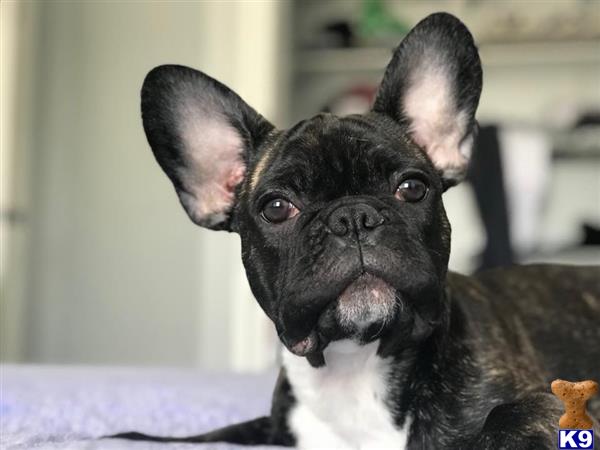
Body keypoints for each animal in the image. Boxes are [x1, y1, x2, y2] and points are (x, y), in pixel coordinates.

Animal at [109, 12, 600, 448]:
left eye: (413, 188)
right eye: (276, 208)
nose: (352, 218)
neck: (354, 364)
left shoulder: (549, 405)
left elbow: (506, 419)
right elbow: (216, 433)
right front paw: (131, 435)